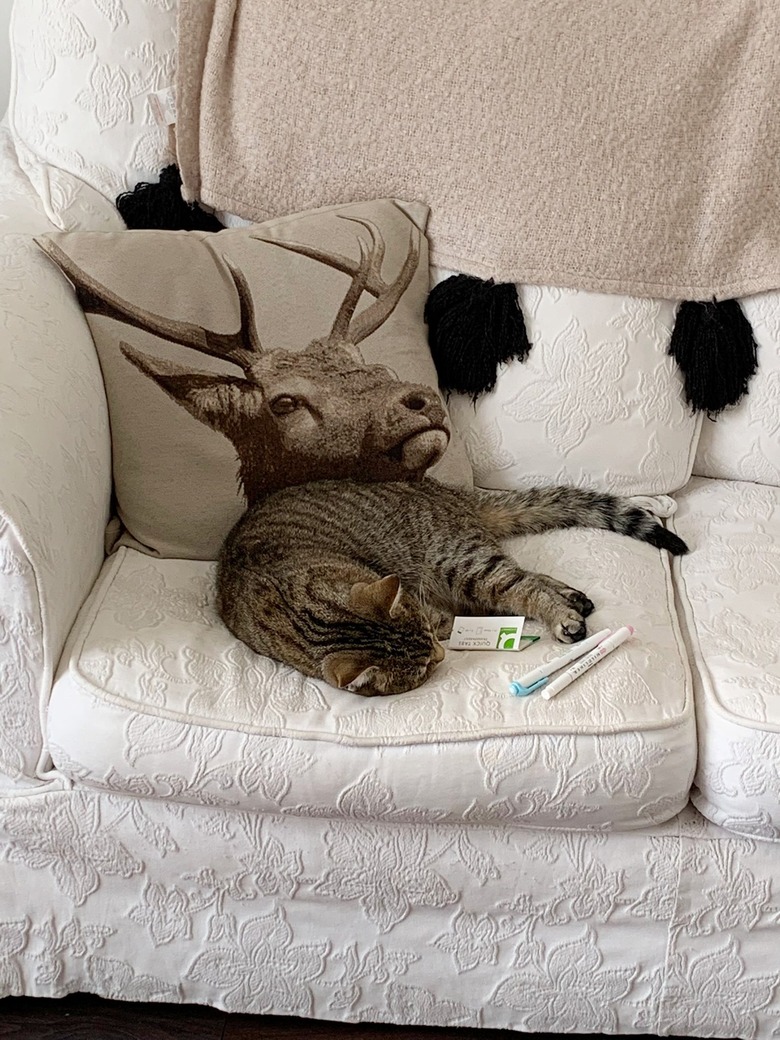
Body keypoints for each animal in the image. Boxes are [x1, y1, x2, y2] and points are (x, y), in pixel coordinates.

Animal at [218, 478, 690, 698]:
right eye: (424, 668)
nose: (441, 657)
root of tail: (450, 494)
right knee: (526, 580)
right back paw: (572, 599)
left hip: (463, 563)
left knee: (522, 585)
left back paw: (564, 615)